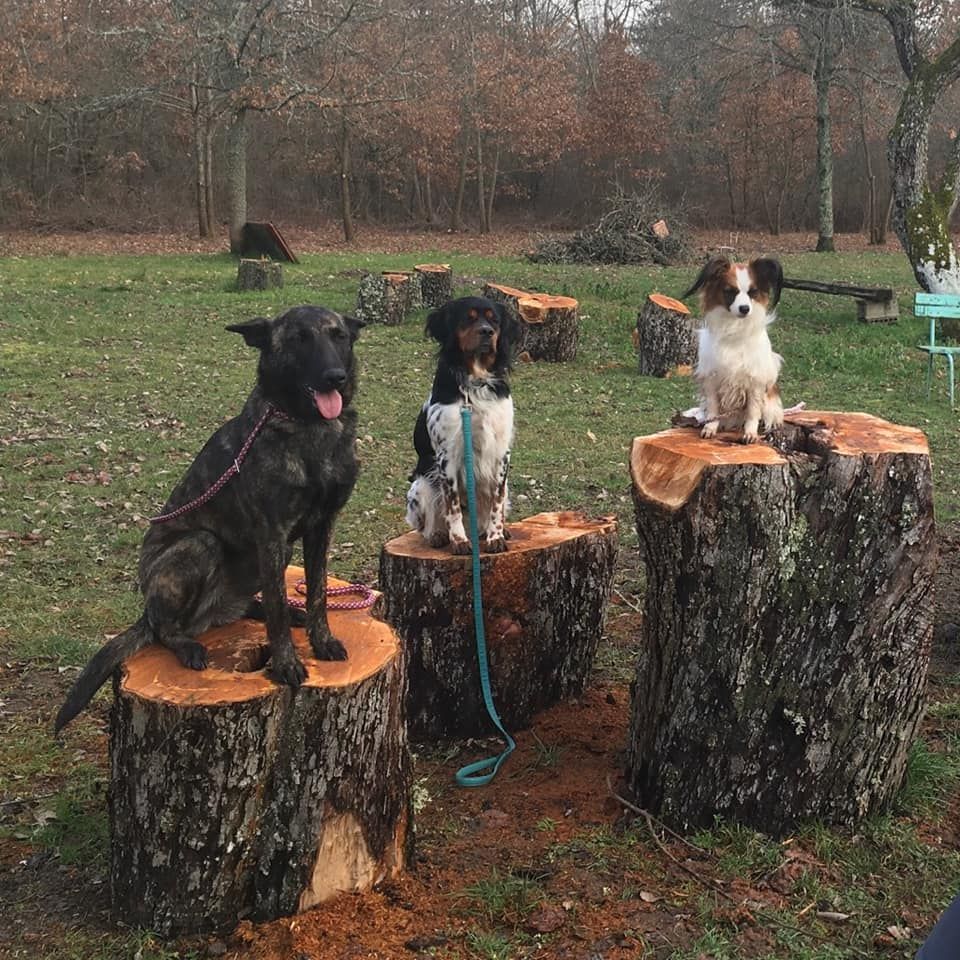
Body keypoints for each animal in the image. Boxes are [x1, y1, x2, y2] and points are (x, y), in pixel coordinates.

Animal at [56, 308, 364, 736]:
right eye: (299, 339)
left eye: (338, 336)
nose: (334, 376)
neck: (309, 428)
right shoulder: (273, 534)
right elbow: (277, 612)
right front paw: (286, 662)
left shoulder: (320, 528)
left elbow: (317, 593)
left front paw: (321, 639)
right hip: (200, 546)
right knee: (164, 628)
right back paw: (187, 645)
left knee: (250, 605)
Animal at [408, 298, 520, 556]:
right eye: (468, 318)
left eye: (494, 320)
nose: (487, 332)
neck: (475, 383)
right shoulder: (446, 455)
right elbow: (452, 505)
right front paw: (459, 541)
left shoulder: (501, 452)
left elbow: (496, 502)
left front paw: (496, 536)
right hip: (420, 485)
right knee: (426, 524)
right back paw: (438, 534)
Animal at [680, 258, 784, 446]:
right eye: (730, 291)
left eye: (752, 292)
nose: (744, 309)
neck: (734, 328)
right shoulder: (711, 379)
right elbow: (713, 409)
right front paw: (710, 428)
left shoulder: (755, 382)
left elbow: (753, 411)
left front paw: (750, 433)